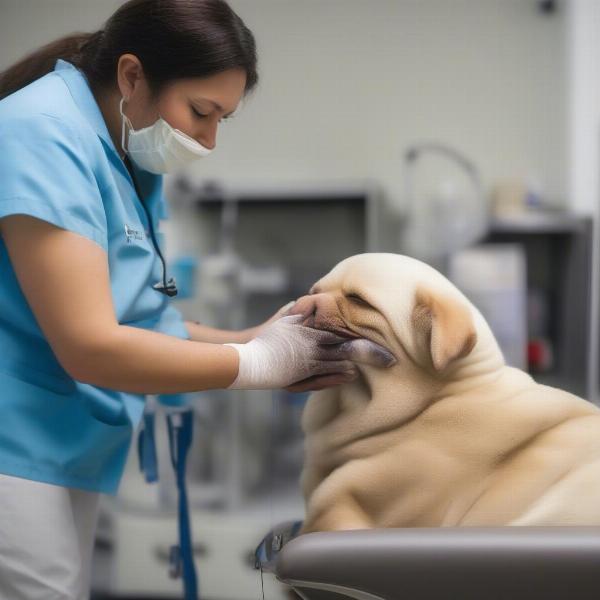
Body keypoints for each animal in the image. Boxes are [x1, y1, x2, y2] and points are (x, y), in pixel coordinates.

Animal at [292, 251, 600, 532]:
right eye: (314, 291)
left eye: (357, 300)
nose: (299, 304)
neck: (431, 402)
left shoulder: (366, 491)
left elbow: (328, 507)